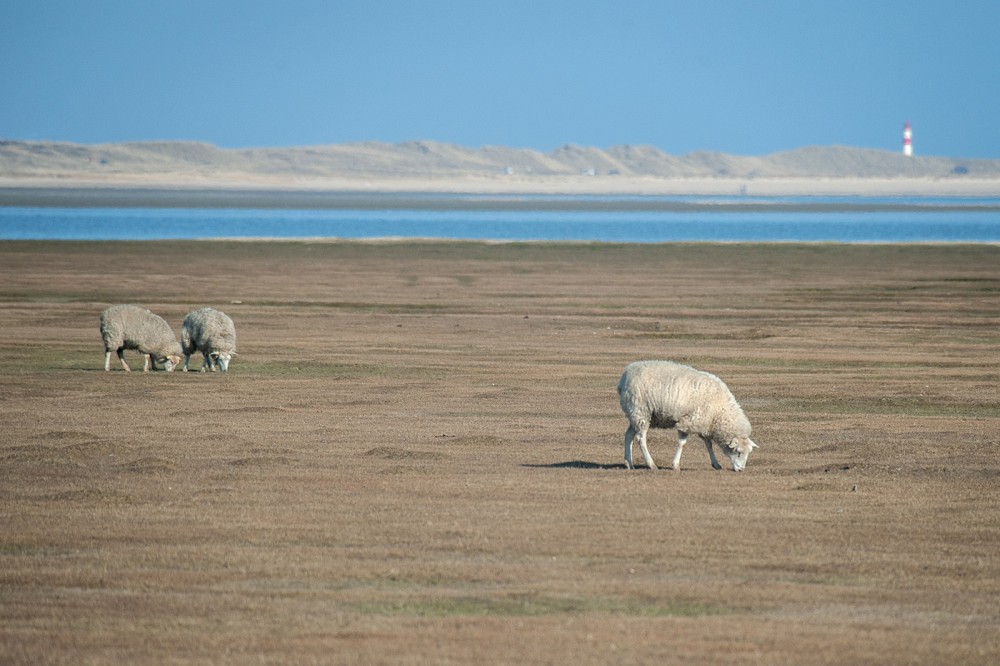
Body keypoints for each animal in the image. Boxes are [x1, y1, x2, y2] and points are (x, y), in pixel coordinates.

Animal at [616, 358, 756, 472]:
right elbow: (682, 443)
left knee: (628, 435)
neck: (719, 410)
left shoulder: (703, 423)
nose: (741, 469)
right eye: (738, 452)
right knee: (641, 439)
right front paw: (675, 465)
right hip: (641, 411)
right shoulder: (687, 422)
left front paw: (716, 464)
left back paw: (629, 463)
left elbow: (708, 444)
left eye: (748, 453)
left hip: (635, 414)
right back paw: (651, 465)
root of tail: (624, 377)